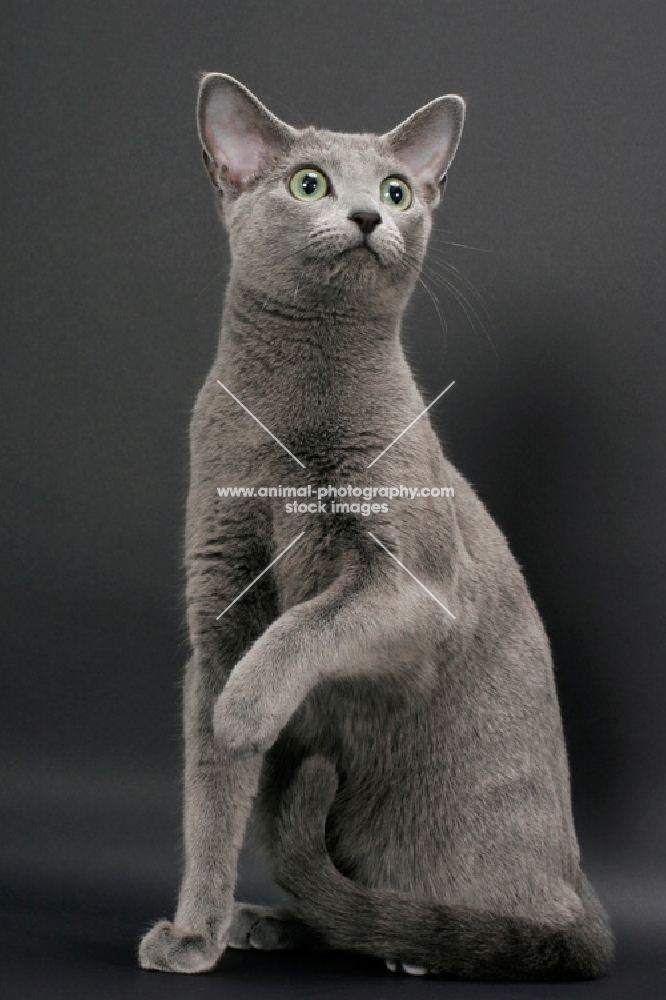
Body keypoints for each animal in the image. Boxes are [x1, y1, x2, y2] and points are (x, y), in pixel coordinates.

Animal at [137, 74, 608, 980]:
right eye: (309, 183)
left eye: (396, 191)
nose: (367, 216)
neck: (293, 408)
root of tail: (583, 893)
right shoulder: (218, 596)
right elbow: (210, 797)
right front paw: (192, 933)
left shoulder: (413, 583)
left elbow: (308, 624)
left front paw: (245, 708)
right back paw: (266, 921)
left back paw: (424, 948)